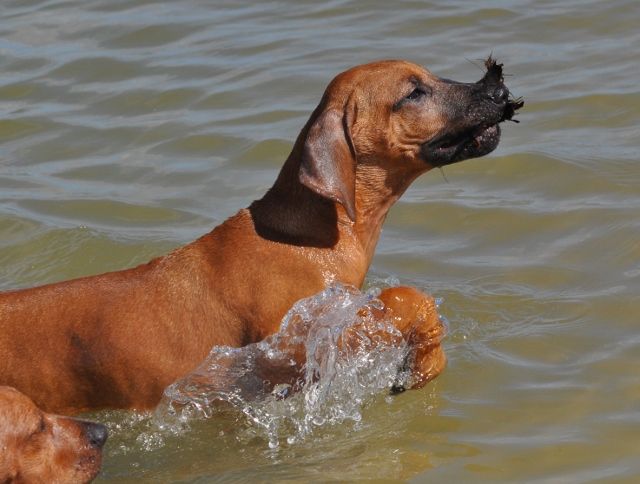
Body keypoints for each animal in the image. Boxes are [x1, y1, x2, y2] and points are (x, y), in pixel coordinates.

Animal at [0, 58, 522, 414]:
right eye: (413, 93)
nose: (495, 89)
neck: (311, 237)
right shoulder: (291, 350)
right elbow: (409, 299)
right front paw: (421, 363)